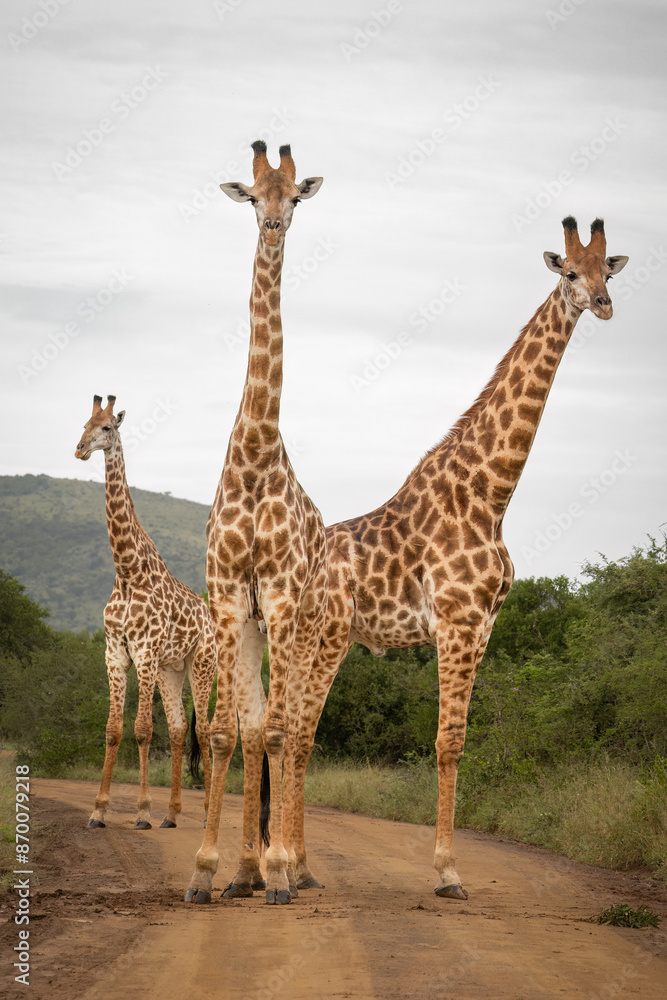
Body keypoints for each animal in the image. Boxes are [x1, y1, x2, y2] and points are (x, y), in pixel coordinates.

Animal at [74, 395, 216, 830]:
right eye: (84, 423)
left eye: (107, 427)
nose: (79, 450)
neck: (127, 571)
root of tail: (211, 619)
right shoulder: (115, 652)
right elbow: (113, 729)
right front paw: (98, 811)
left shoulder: (146, 651)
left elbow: (140, 729)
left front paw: (140, 811)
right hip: (173, 670)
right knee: (179, 728)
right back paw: (172, 814)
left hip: (202, 664)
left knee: (205, 730)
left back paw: (206, 811)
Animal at [288, 217, 628, 899]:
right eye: (569, 272)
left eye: (608, 268)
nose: (604, 305)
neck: (492, 493)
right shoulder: (456, 620)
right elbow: (446, 741)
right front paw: (447, 872)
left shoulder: (485, 625)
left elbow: (463, 739)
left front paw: (447, 865)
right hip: (325, 637)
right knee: (296, 734)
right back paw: (282, 866)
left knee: (291, 734)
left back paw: (299, 867)